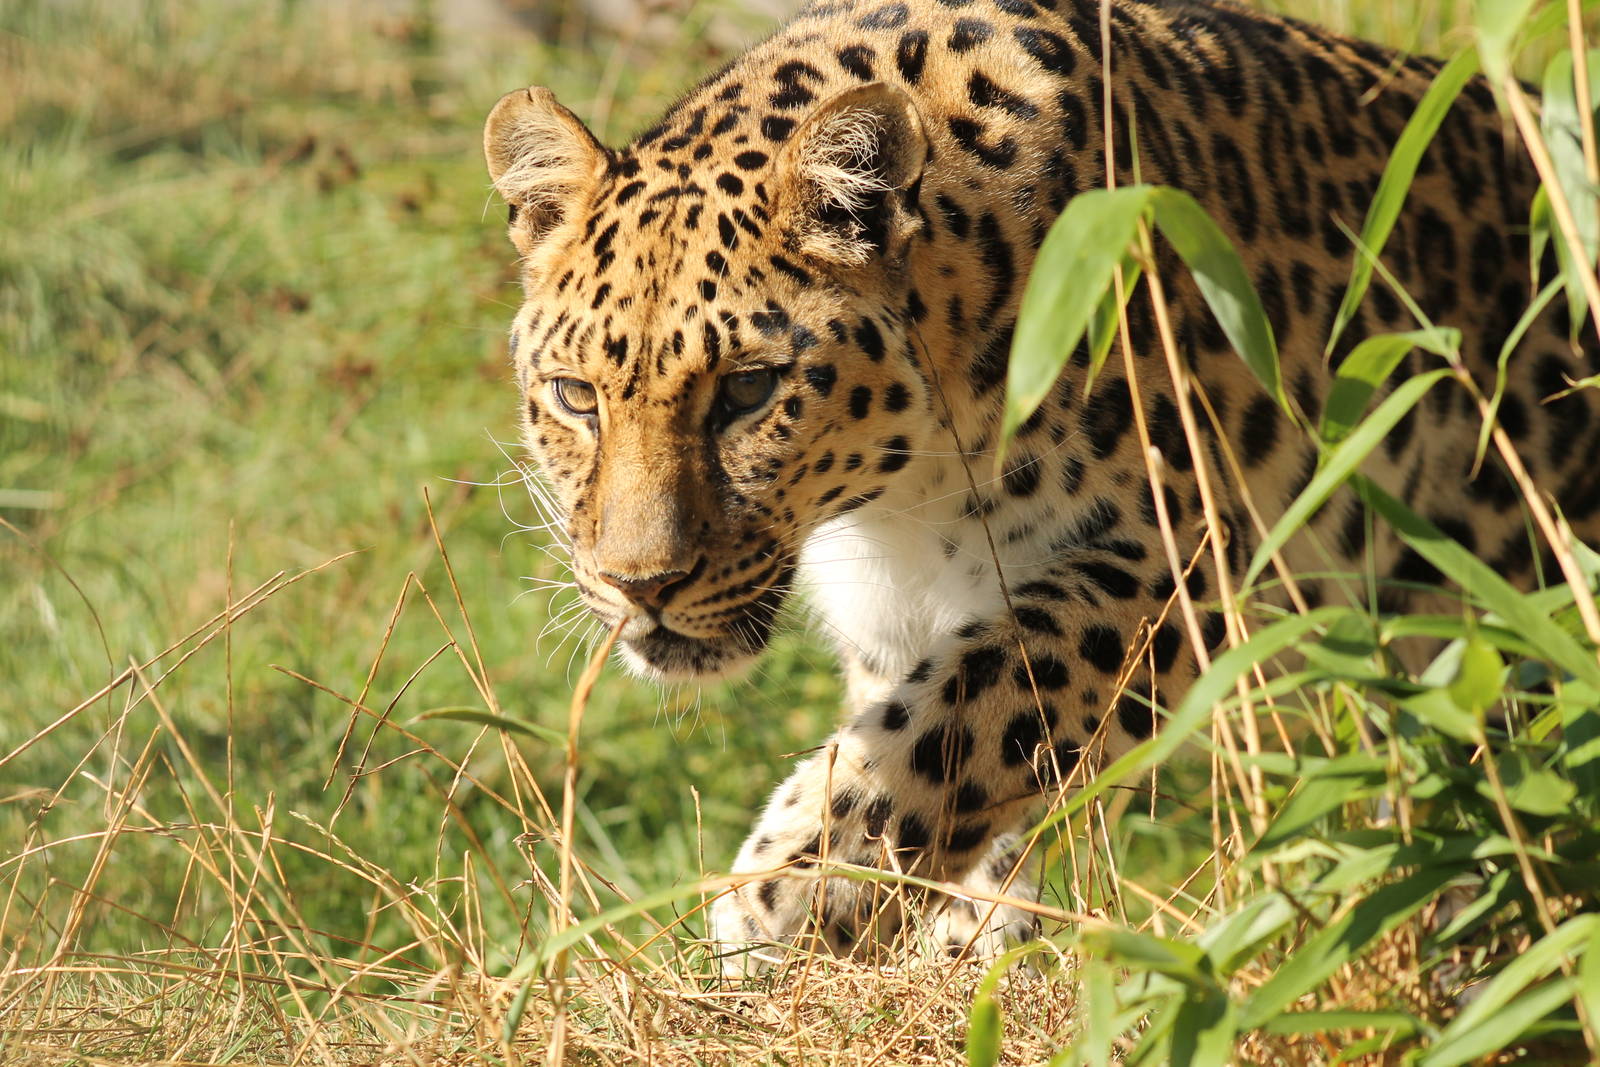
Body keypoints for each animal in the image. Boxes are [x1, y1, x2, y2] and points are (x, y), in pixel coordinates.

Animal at [483, 0, 1600, 973]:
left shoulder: (1177, 557)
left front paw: (787, 895)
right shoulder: (892, 621)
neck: (904, 492)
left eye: (747, 390)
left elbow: (966, 718)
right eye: (576, 396)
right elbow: (926, 740)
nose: (641, 585)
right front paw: (951, 931)